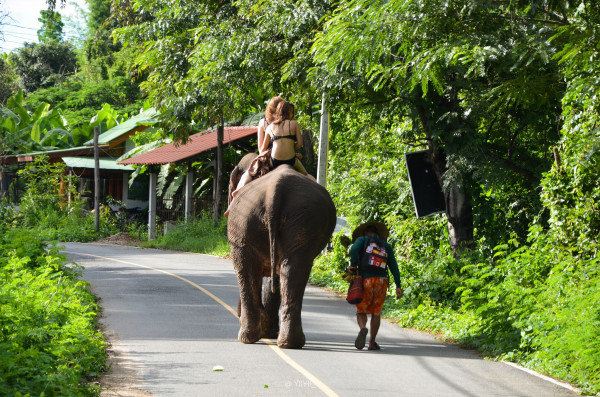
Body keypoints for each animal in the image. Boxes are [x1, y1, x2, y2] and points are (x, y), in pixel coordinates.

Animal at [226, 155, 336, 346]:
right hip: (288, 219)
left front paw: (267, 331)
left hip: (255, 220)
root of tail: (275, 190)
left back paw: (259, 338)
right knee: (292, 268)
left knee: (253, 268)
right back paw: (282, 341)